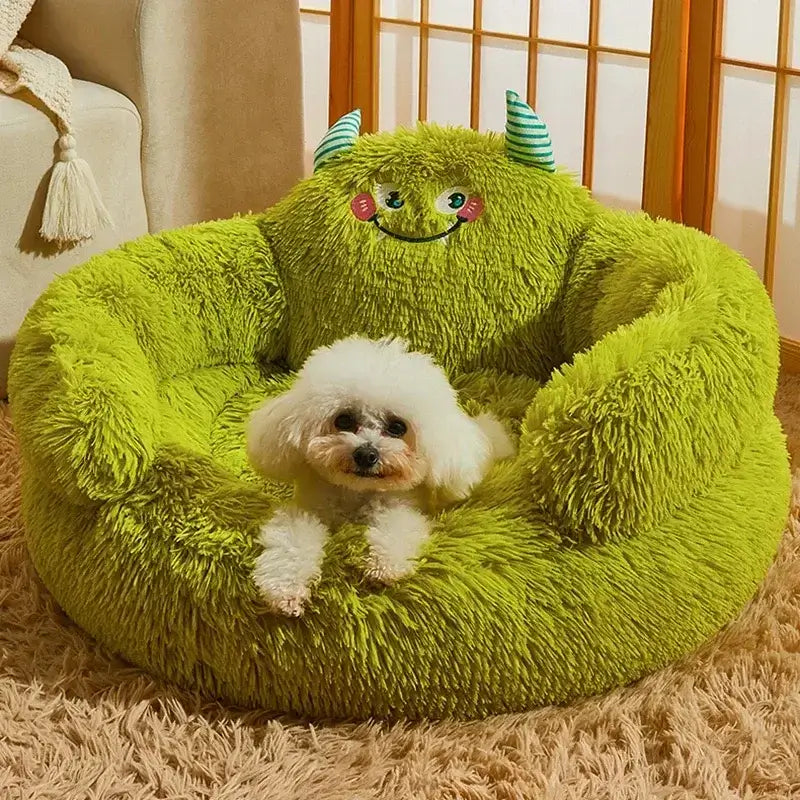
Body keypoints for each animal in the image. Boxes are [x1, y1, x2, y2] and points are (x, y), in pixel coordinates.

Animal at [247, 334, 516, 616]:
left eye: (397, 427)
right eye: (344, 420)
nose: (366, 454)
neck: (357, 493)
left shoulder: (403, 508)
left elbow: (397, 525)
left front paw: (384, 566)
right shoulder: (306, 510)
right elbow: (292, 539)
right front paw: (285, 590)